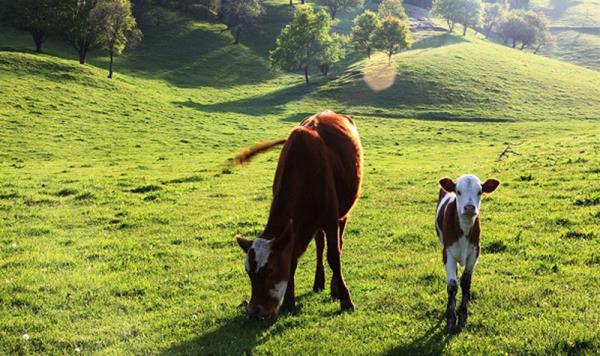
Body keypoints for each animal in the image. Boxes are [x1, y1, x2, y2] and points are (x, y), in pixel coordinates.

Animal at [232, 111, 364, 320]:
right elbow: (293, 260)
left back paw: (334, 287)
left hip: (342, 214)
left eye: (270, 270)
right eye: (248, 272)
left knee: (337, 244)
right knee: (320, 245)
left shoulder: (330, 217)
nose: (255, 311)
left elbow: (334, 257)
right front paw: (288, 303)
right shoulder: (296, 229)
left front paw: (346, 300)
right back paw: (319, 282)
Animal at [434, 175, 500, 334]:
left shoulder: (475, 252)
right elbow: (452, 285)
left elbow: (466, 281)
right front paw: (450, 319)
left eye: (480, 191)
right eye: (458, 191)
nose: (469, 207)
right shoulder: (447, 253)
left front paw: (463, 314)